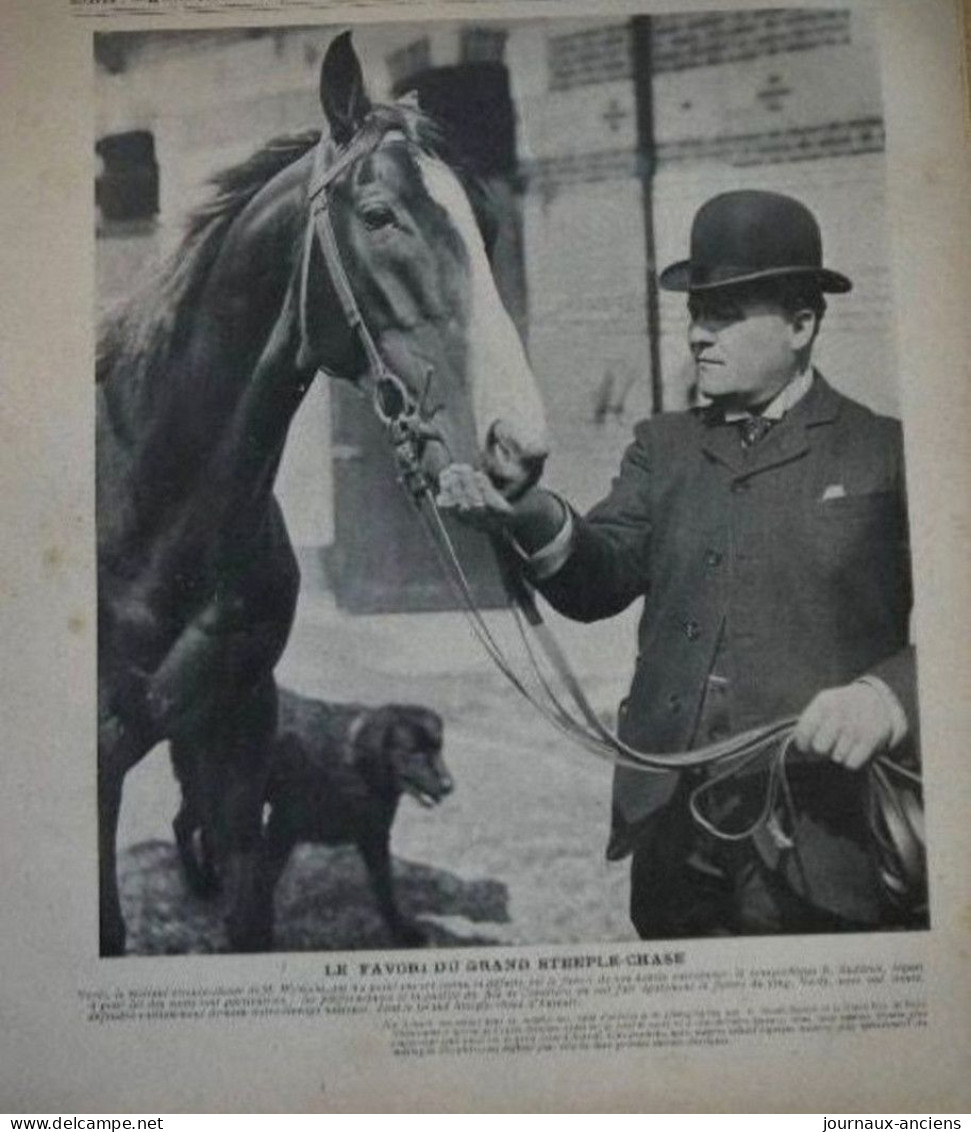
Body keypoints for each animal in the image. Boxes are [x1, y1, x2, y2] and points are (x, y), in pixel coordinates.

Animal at [172, 688, 452, 946]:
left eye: (439, 749)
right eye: (414, 751)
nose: (449, 786)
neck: (357, 765)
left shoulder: (374, 837)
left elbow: (385, 891)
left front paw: (402, 931)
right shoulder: (281, 829)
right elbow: (262, 884)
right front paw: (253, 934)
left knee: (210, 834)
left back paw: (212, 876)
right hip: (207, 789)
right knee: (183, 826)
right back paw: (198, 882)